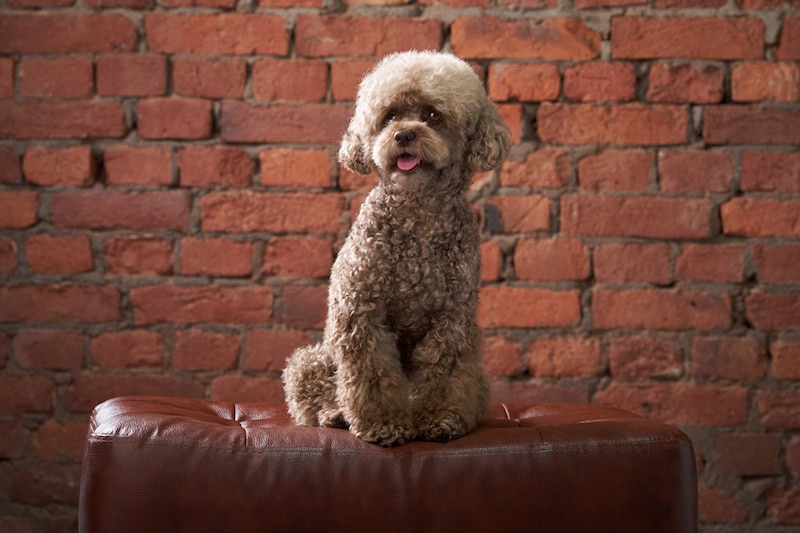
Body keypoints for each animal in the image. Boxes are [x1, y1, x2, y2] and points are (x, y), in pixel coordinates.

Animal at [282, 51, 510, 444]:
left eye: (433, 114)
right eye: (389, 116)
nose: (403, 134)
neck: (416, 216)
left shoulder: (452, 318)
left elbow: (445, 373)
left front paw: (441, 419)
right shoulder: (361, 312)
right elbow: (372, 374)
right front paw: (383, 424)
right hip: (310, 362)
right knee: (314, 397)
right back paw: (335, 415)